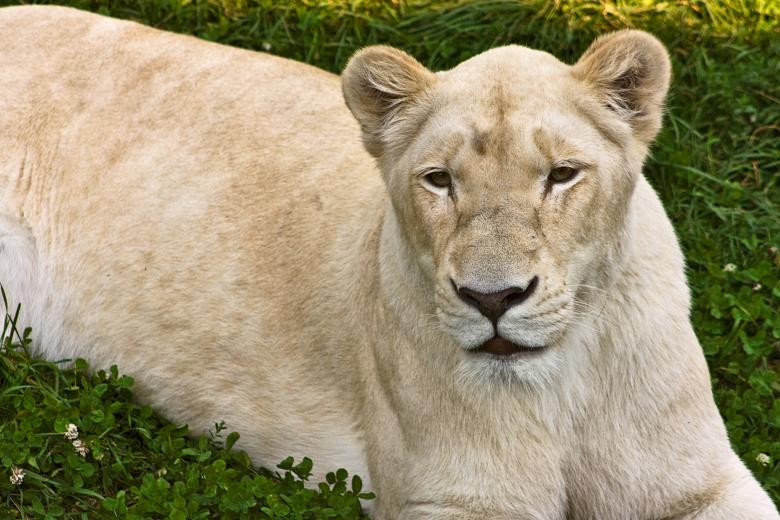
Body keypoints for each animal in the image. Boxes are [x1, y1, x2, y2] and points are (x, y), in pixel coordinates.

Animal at [0, 5, 776, 519]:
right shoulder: (455, 498)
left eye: (561, 175)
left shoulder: (703, 482)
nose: (493, 300)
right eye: (439, 180)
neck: (564, 383)